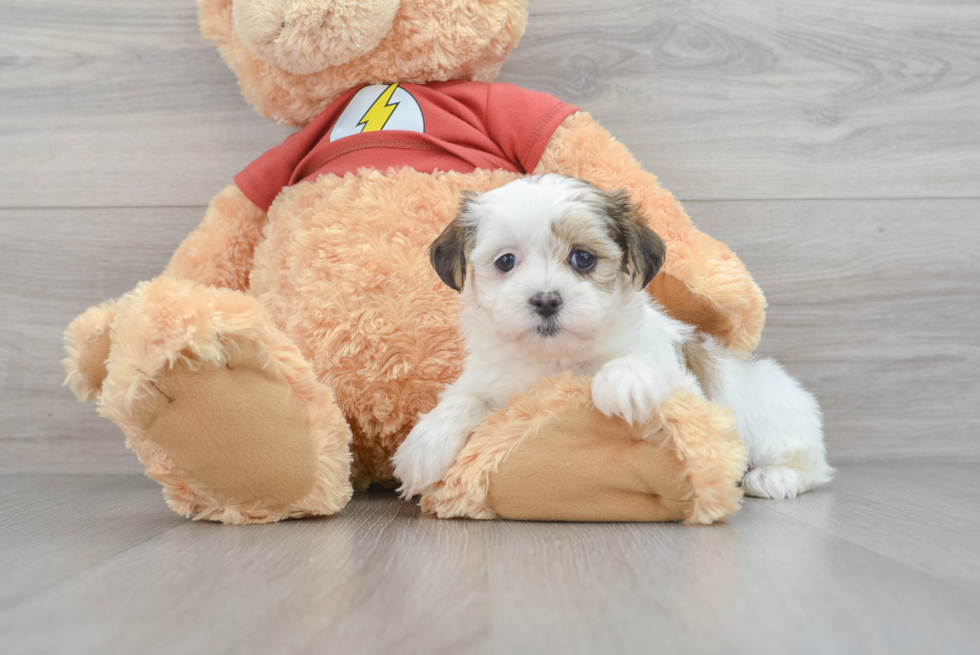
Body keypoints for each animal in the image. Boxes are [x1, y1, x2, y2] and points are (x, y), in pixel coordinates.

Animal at [392, 174, 836, 502]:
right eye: (505, 262)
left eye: (583, 258)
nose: (546, 299)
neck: (556, 357)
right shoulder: (491, 378)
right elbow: (464, 398)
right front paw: (423, 446)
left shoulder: (682, 383)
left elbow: (640, 362)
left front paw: (625, 382)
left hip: (775, 415)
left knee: (810, 464)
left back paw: (773, 477)